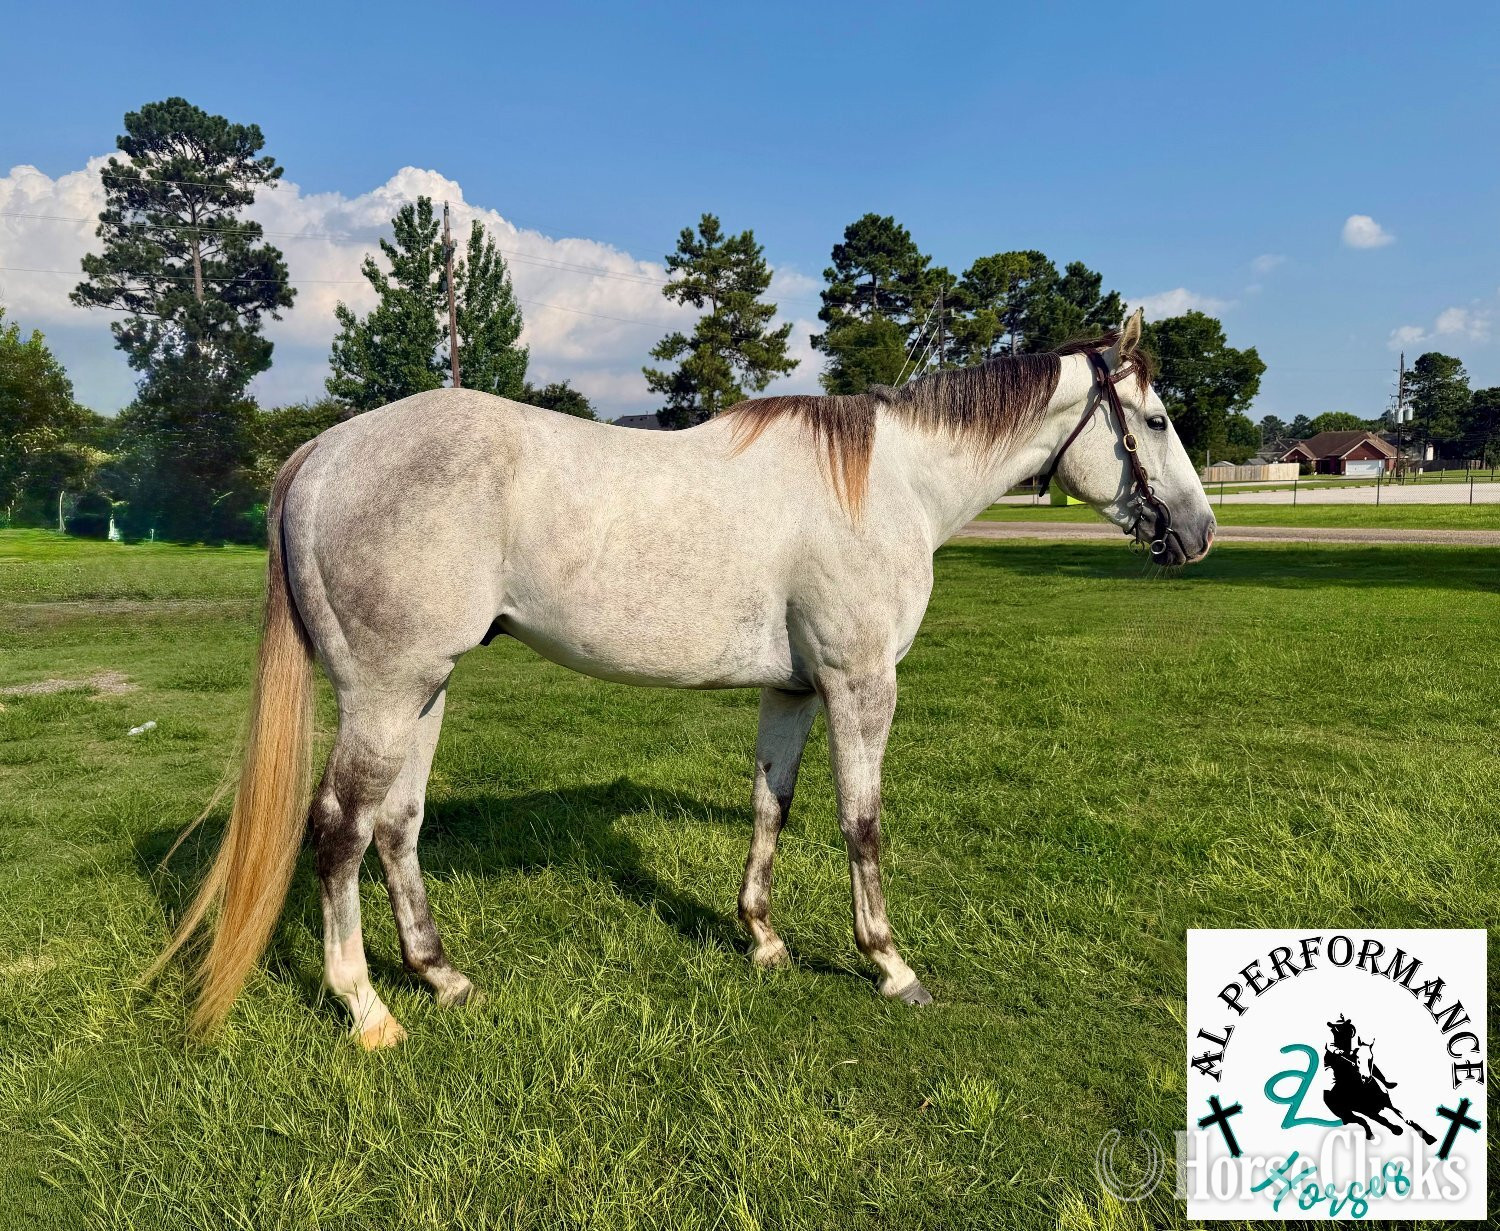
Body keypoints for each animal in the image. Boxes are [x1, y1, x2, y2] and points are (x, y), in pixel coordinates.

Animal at [156, 309, 1216, 1047]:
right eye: (1157, 419)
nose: (1200, 534)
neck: (890, 485)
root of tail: (322, 452)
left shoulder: (795, 690)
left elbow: (770, 808)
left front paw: (764, 939)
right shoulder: (861, 685)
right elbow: (862, 823)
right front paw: (888, 964)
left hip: (424, 691)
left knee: (397, 826)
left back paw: (440, 974)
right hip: (383, 696)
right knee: (340, 831)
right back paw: (369, 1010)